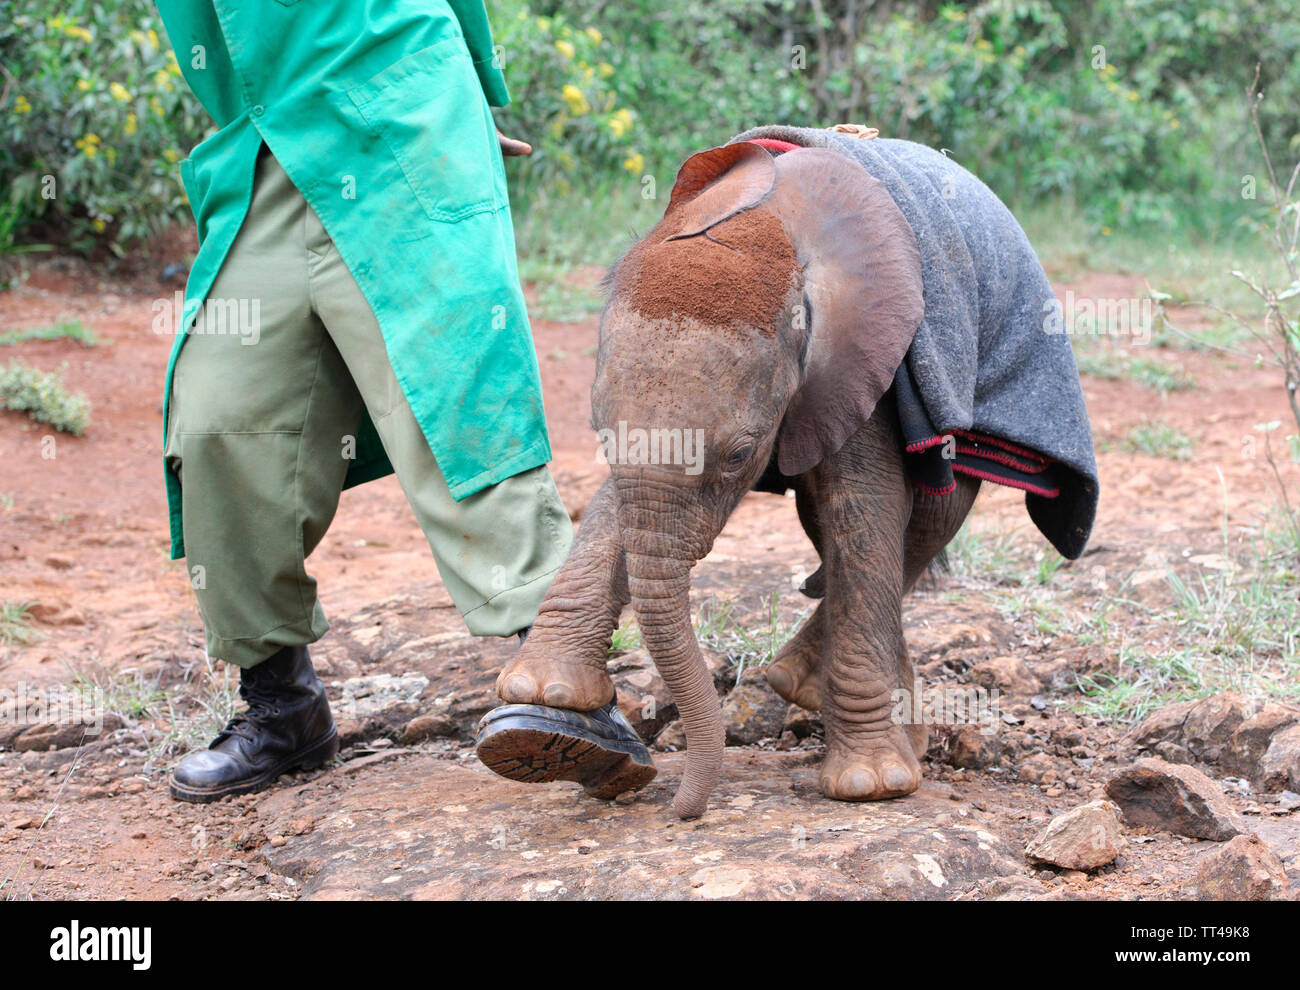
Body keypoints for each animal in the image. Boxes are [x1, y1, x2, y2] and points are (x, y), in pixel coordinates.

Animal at [483, 131, 1092, 815]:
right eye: (595, 432)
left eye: (738, 455)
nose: (677, 808)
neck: (767, 230)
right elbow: (617, 507)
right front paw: (543, 701)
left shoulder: (867, 354)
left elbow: (865, 508)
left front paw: (870, 786)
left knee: (925, 520)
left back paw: (805, 690)